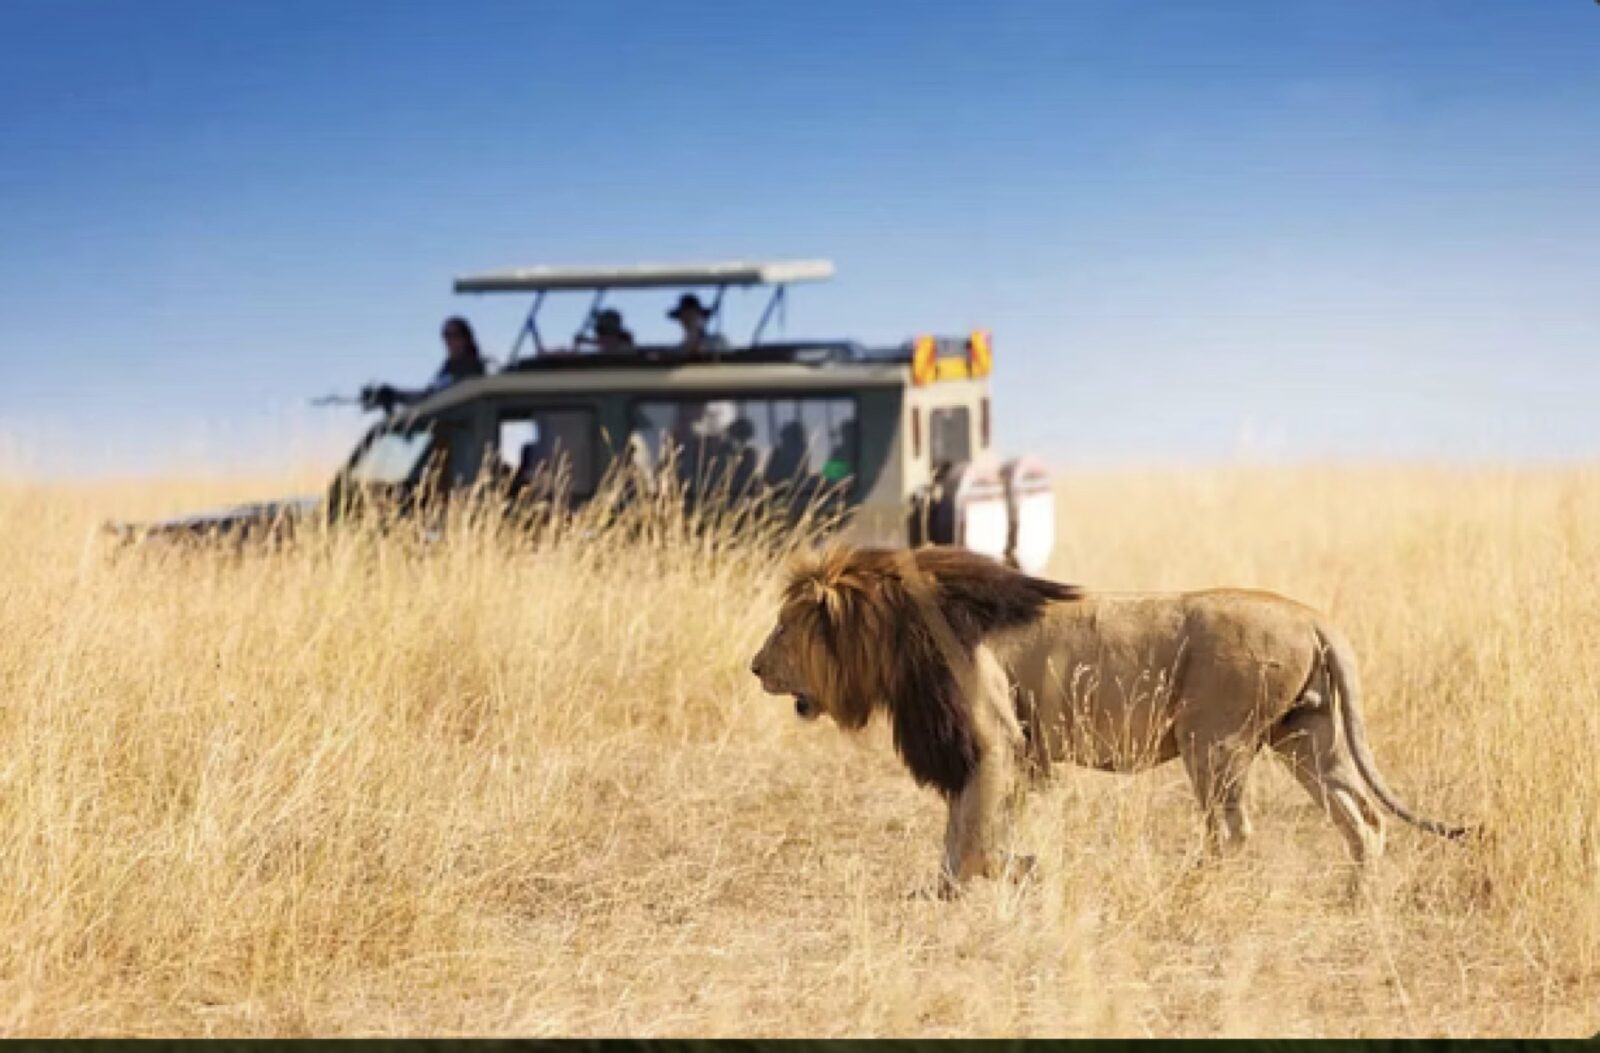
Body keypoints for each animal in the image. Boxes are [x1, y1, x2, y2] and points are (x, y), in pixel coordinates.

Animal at [749, 545, 1470, 894]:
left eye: (784, 627)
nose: (755, 667)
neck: (898, 631)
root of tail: (1312, 616)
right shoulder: (995, 751)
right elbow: (960, 834)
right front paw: (947, 889)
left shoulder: (994, 741)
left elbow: (976, 837)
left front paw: (1019, 870)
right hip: (1305, 738)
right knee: (1364, 817)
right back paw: (1358, 897)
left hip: (1213, 741)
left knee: (1234, 830)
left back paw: (1193, 887)